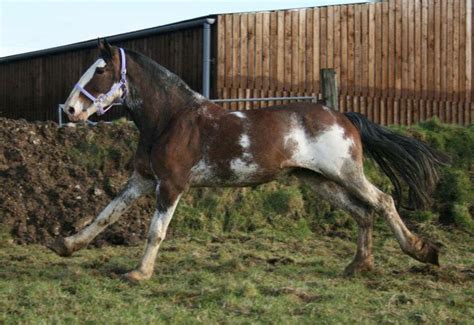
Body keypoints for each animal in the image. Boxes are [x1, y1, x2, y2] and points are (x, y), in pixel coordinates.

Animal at [49, 38, 448, 280]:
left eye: (100, 70)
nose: (69, 110)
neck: (169, 119)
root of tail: (344, 116)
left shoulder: (172, 185)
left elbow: (155, 230)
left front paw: (139, 273)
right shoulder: (143, 179)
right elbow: (105, 214)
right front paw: (66, 245)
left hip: (345, 172)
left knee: (382, 201)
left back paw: (422, 251)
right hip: (316, 179)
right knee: (362, 211)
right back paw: (358, 265)